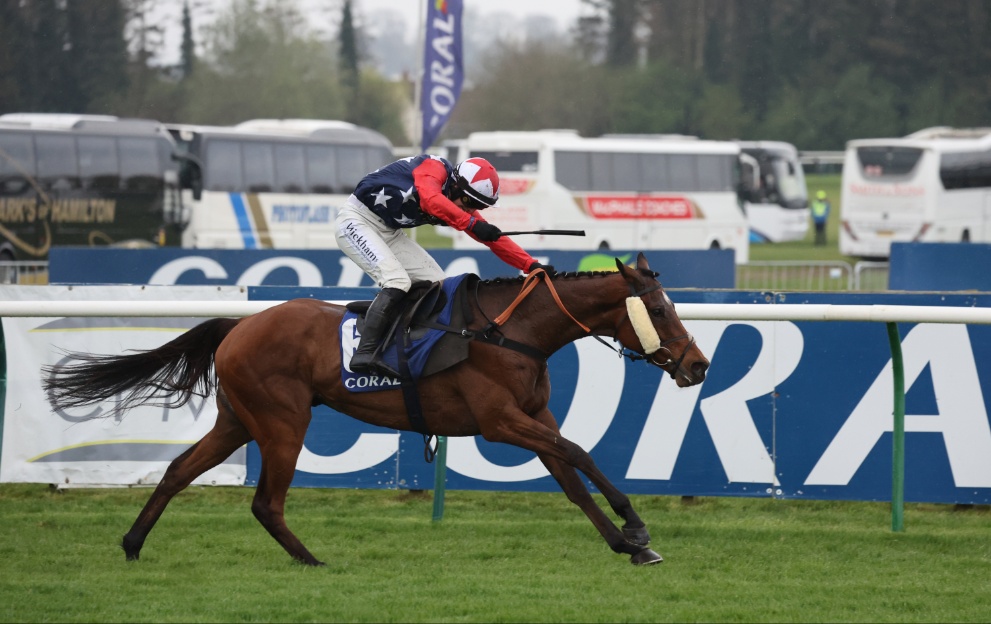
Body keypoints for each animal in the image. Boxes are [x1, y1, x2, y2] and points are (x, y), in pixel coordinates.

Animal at [46, 252, 708, 564]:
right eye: (662, 309)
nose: (698, 365)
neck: (509, 332)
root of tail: (239, 325)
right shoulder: (500, 423)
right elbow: (581, 452)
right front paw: (636, 526)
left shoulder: (533, 418)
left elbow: (571, 478)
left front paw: (629, 545)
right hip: (283, 421)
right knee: (265, 502)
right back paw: (311, 560)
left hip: (237, 420)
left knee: (178, 470)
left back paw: (133, 544)